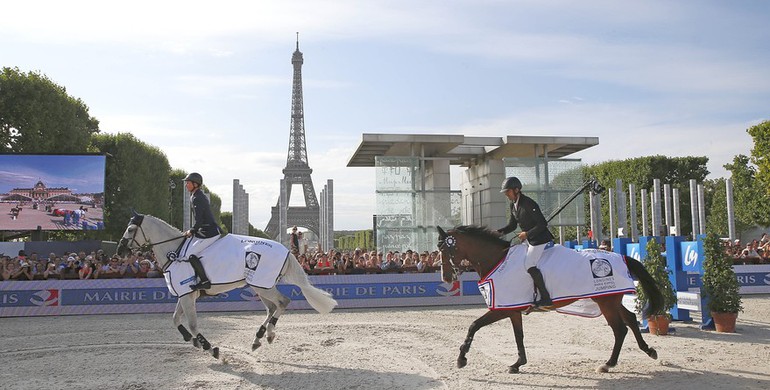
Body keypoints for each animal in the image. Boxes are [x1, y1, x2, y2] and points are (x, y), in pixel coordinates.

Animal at [436, 225, 664, 374]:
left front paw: (461, 359)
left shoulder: (502, 308)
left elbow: (474, 325)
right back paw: (649, 351)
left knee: (620, 329)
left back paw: (608, 363)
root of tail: (621, 256)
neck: (497, 259)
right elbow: (518, 336)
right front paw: (518, 363)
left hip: (606, 303)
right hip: (610, 300)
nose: (446, 278)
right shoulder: (513, 310)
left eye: (445, 249)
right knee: (630, 320)